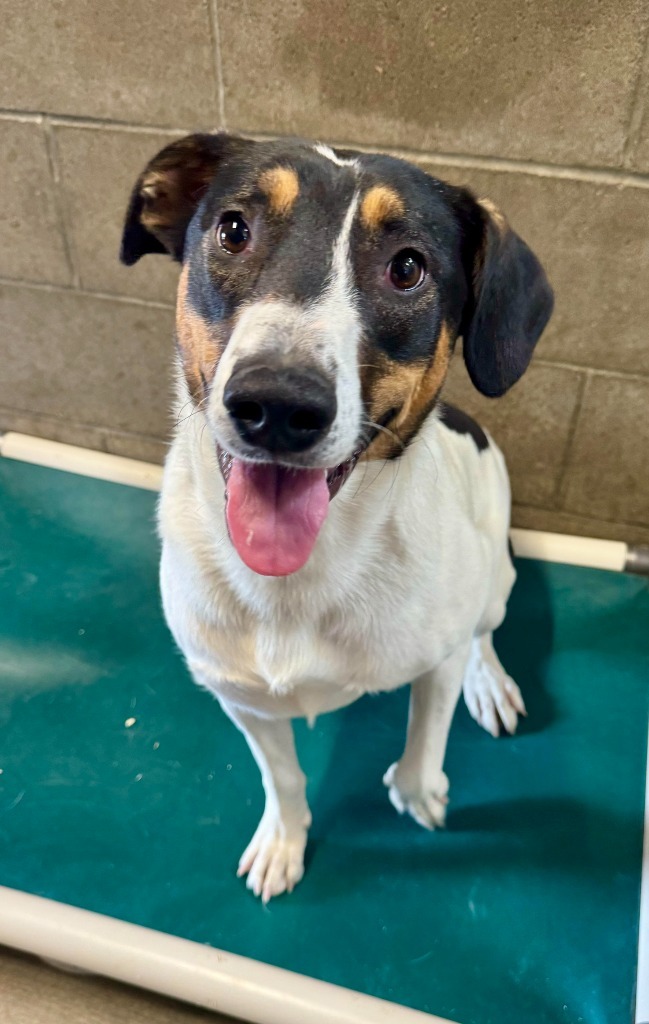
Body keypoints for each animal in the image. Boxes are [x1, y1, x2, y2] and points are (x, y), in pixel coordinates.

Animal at [120, 134, 552, 905]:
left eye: (407, 268)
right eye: (233, 229)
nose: (277, 404)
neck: (300, 580)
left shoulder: (435, 659)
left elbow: (425, 739)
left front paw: (419, 792)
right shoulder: (242, 699)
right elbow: (283, 777)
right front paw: (283, 841)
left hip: (497, 577)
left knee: (485, 631)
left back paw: (490, 682)